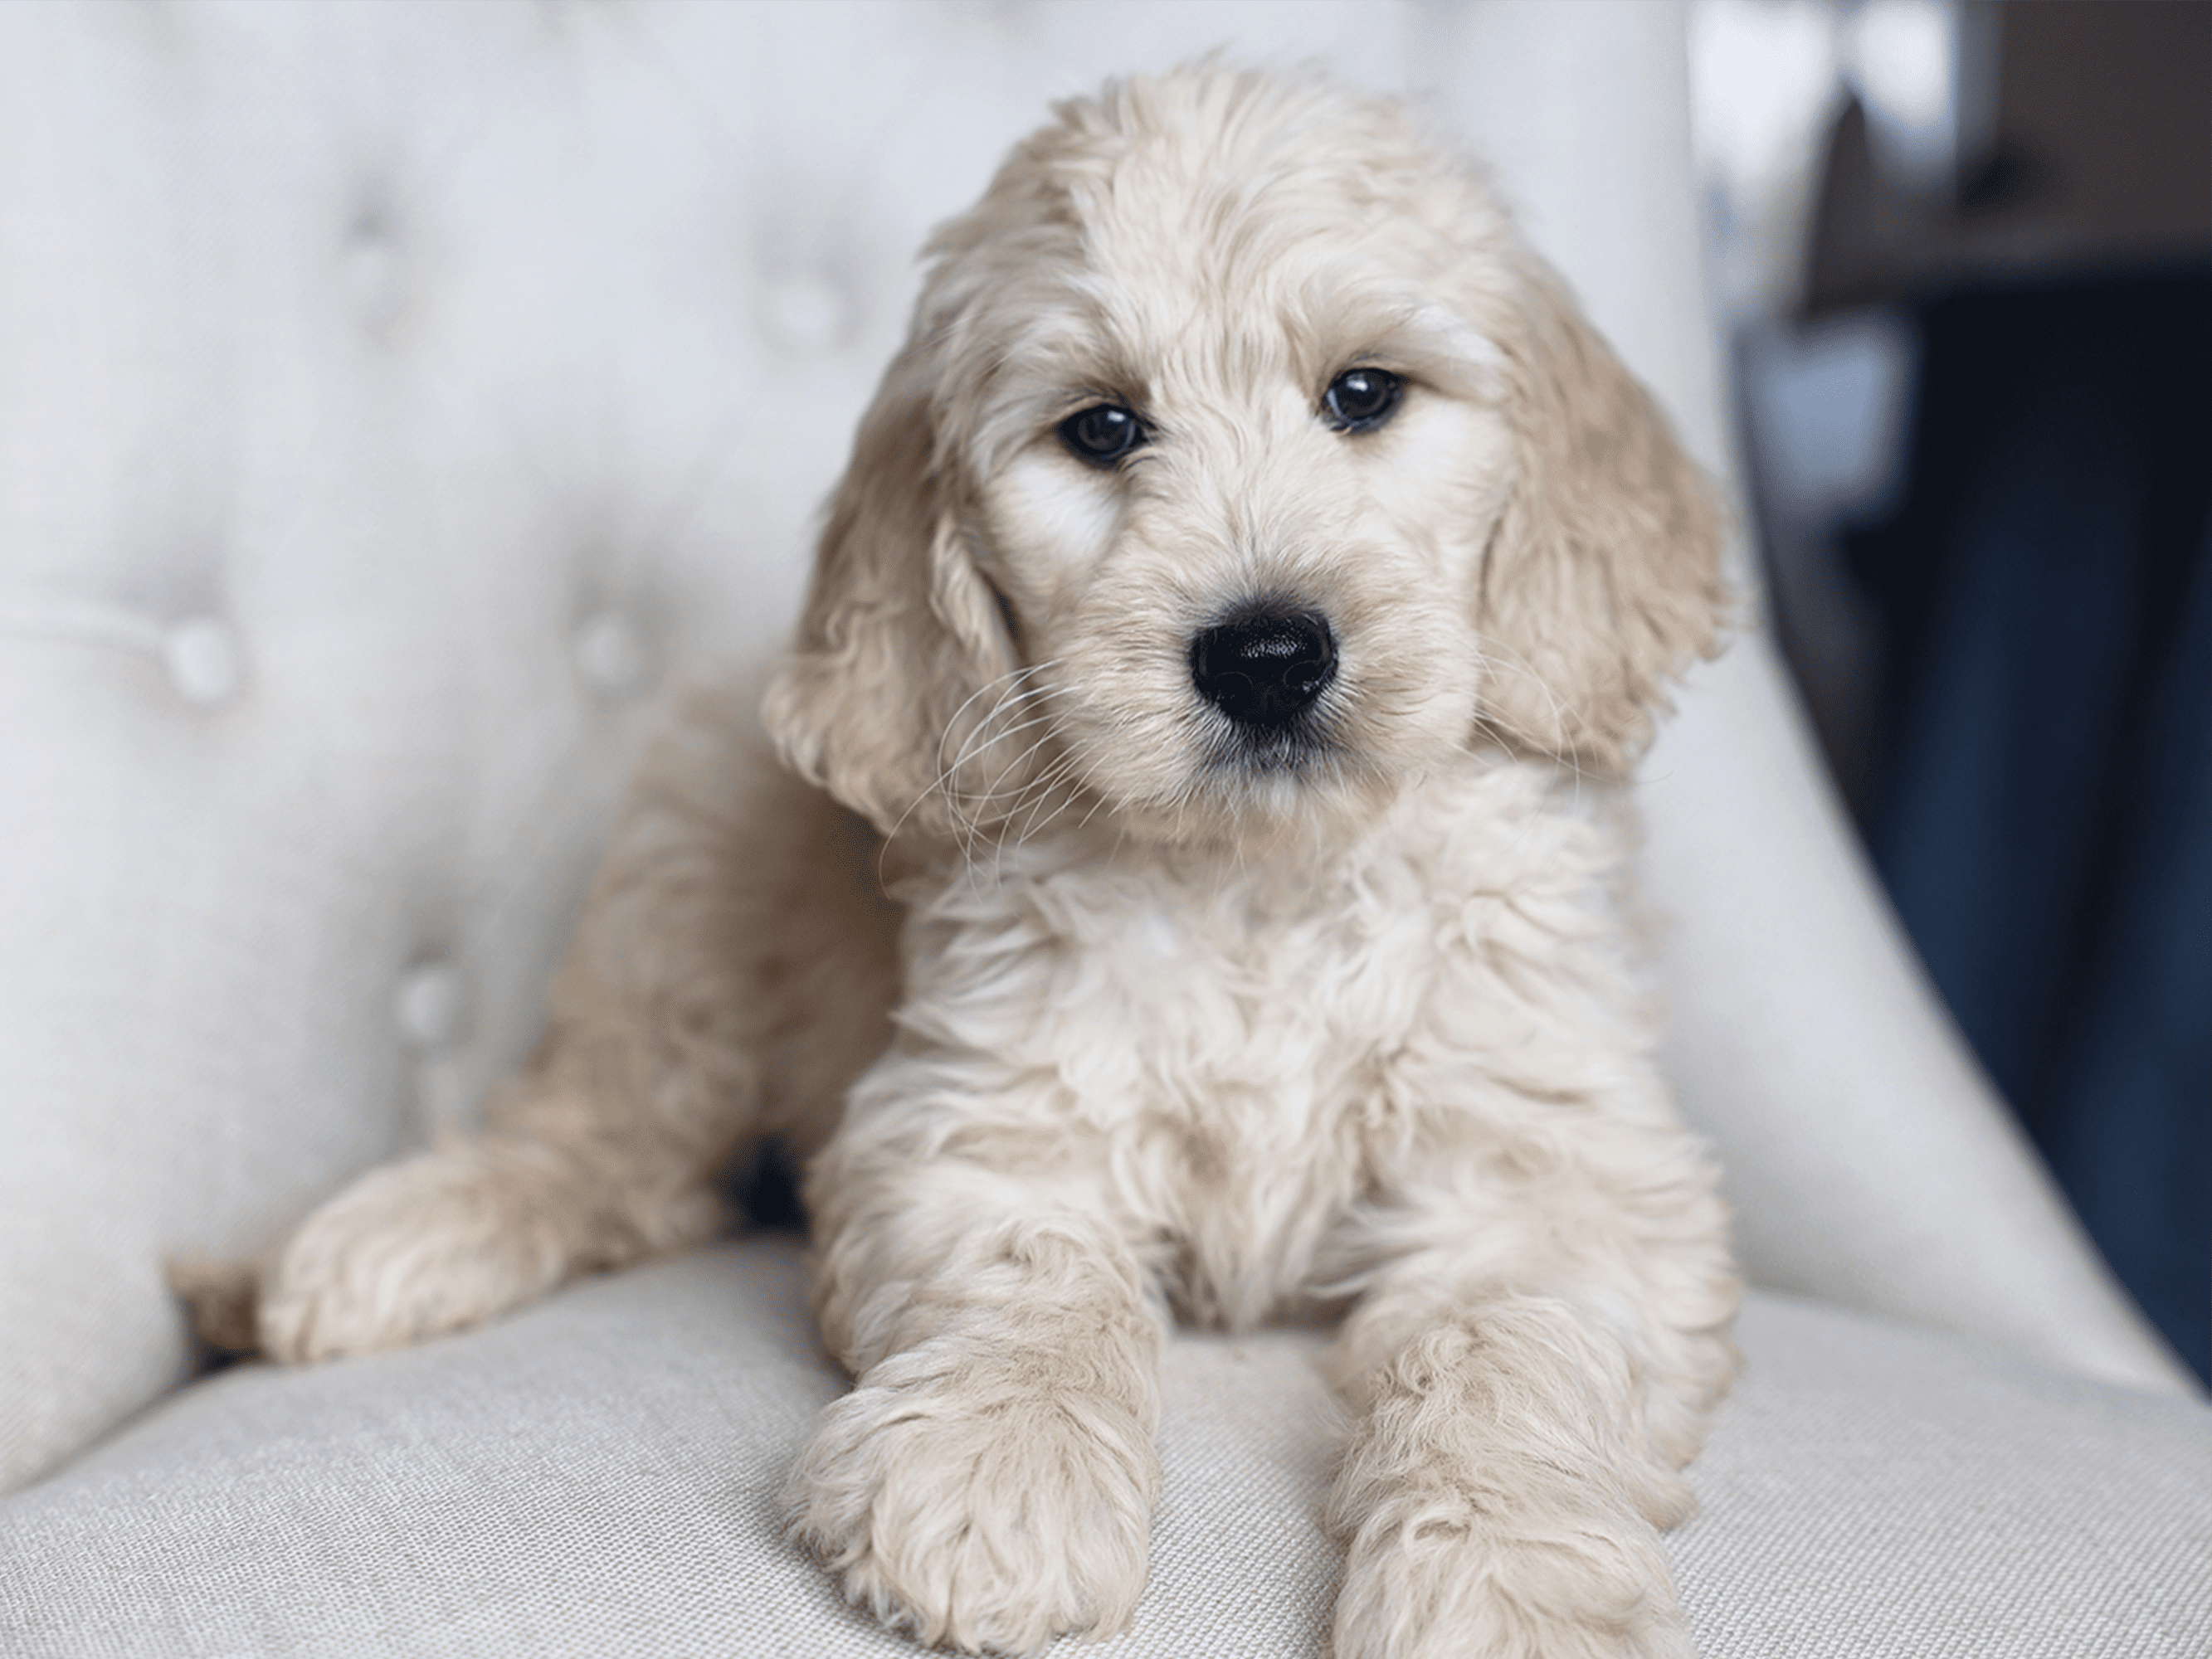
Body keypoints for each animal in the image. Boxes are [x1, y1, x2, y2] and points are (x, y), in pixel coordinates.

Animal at [194, 65, 1742, 1659]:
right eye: (1103, 429)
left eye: (1364, 395)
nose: (1263, 656)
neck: (1259, 877)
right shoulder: (979, 1114)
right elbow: (1039, 1277)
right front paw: (1000, 1471)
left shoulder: (1553, 1172)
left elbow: (1515, 1347)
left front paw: (1507, 1578)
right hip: (678, 891)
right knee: (598, 1142)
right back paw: (371, 1252)